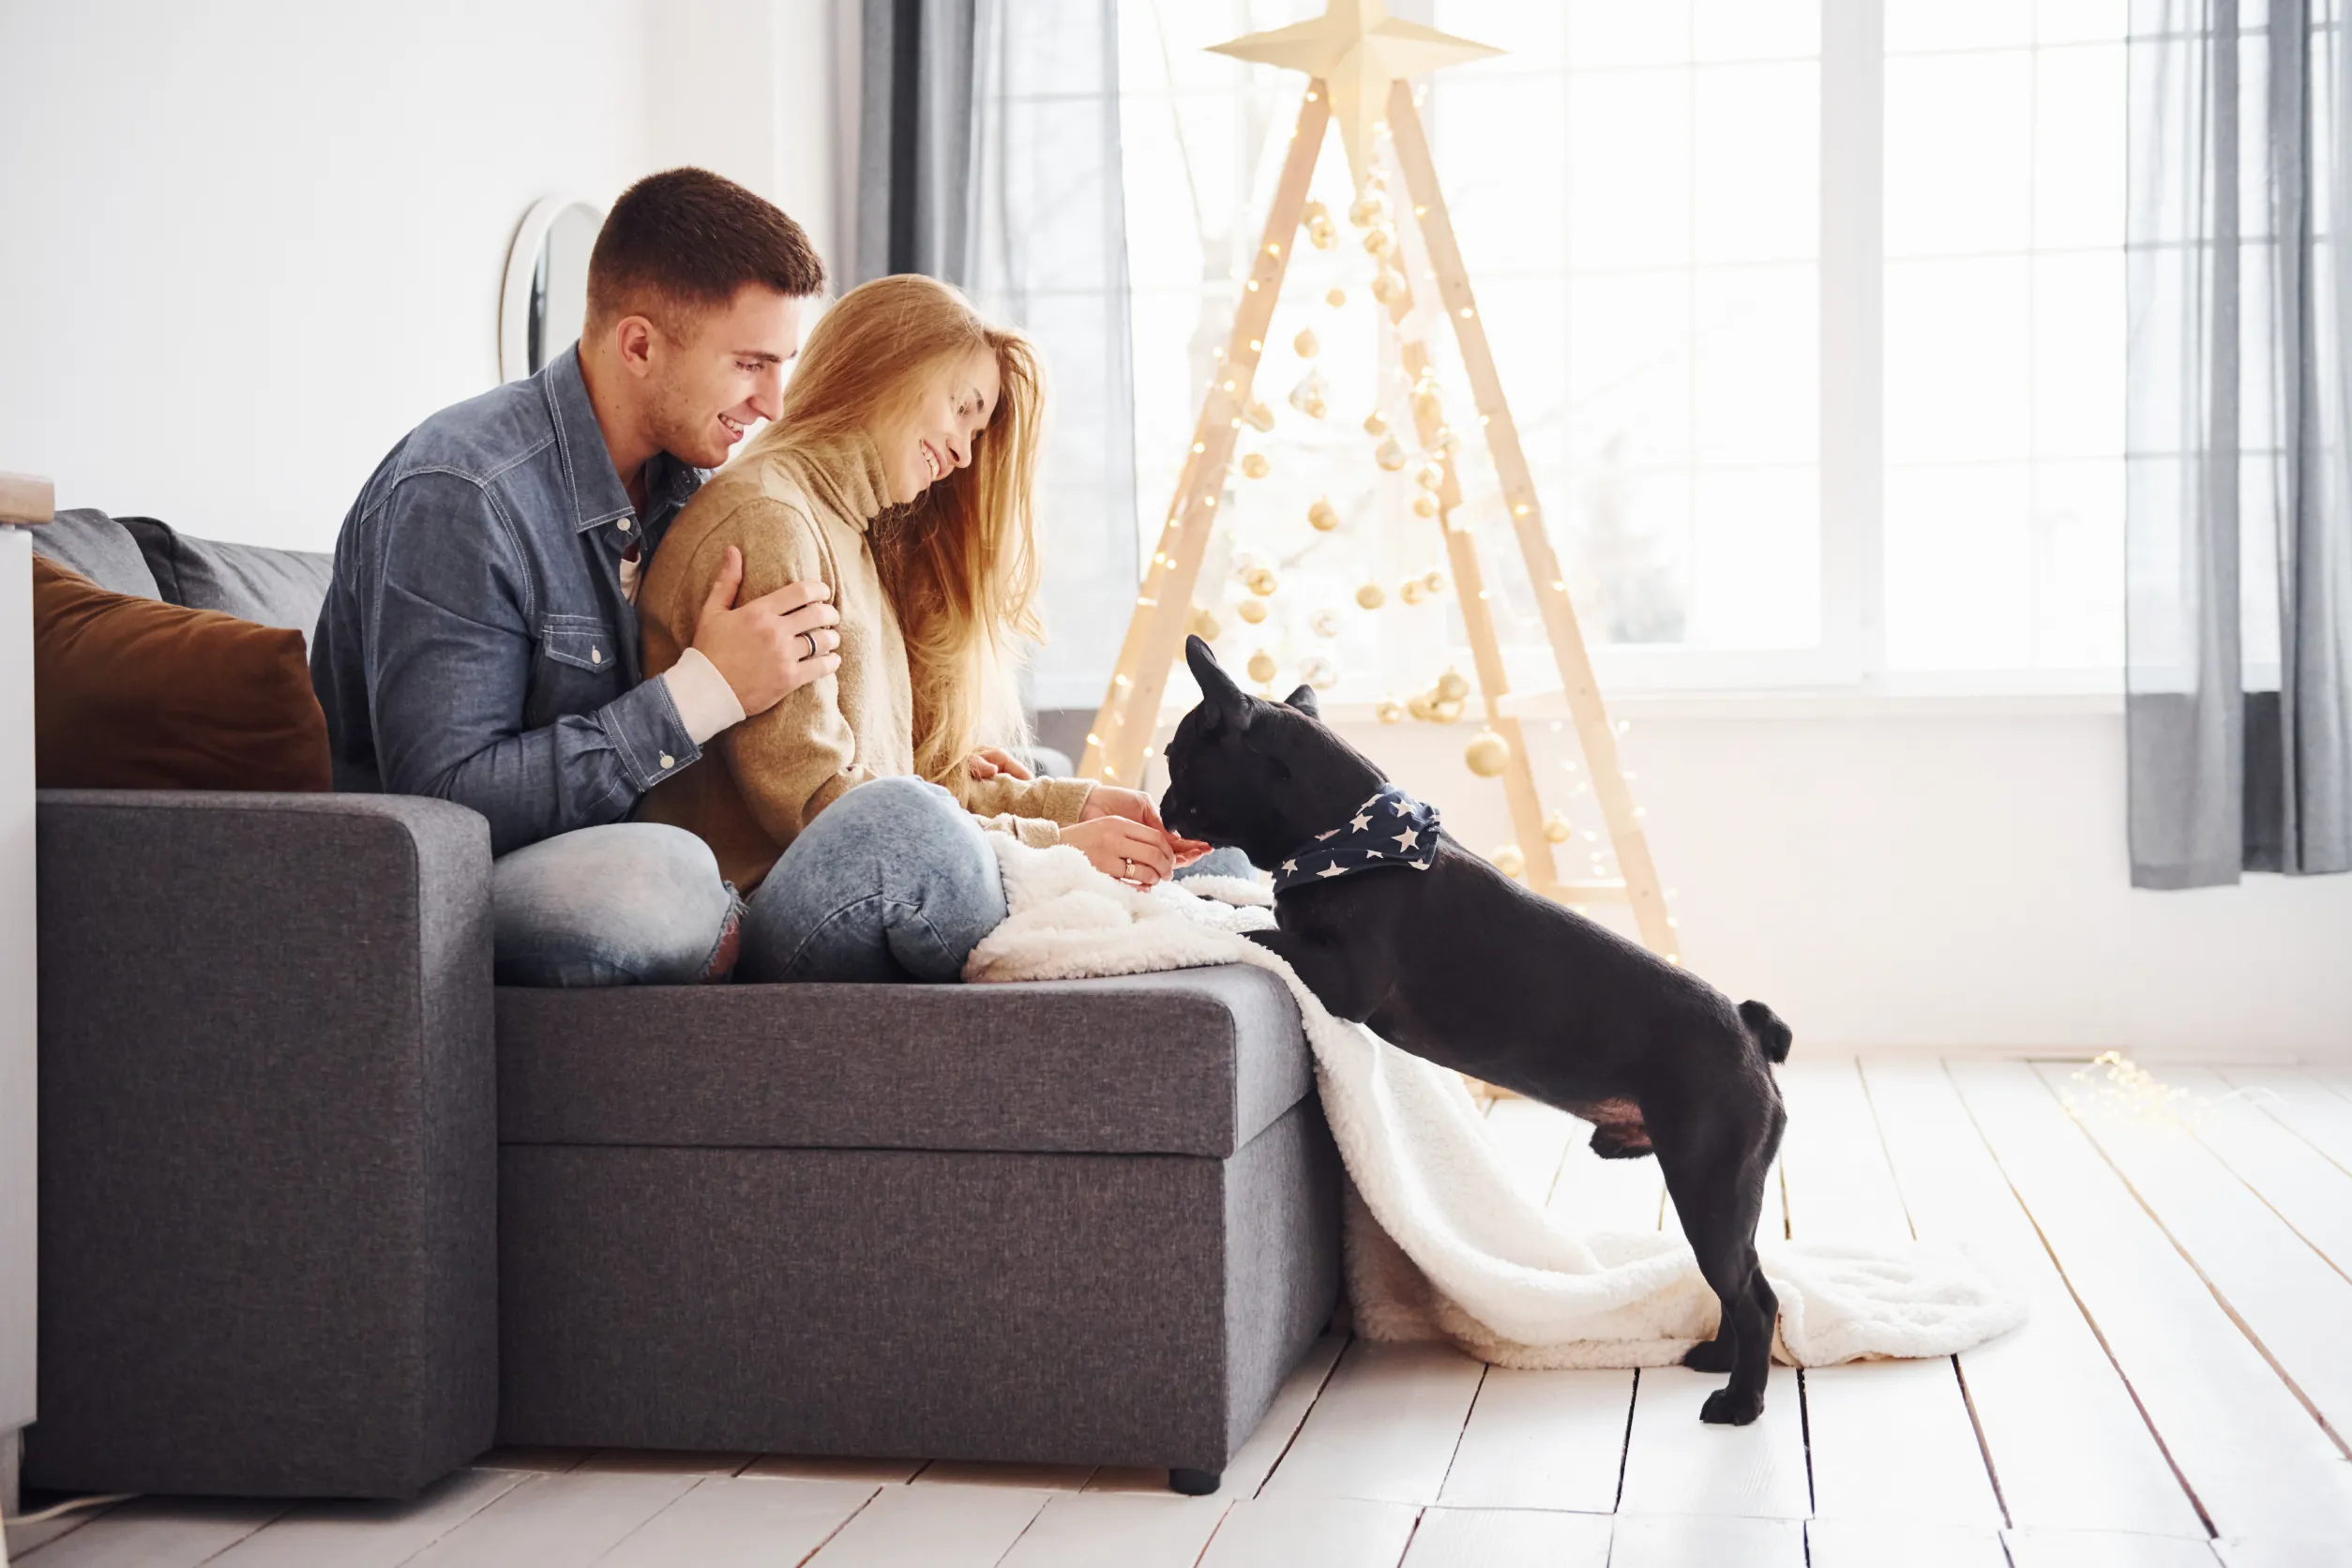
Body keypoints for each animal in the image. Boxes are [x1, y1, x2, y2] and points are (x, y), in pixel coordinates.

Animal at [1166, 634, 1787, 1420]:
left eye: (1176, 755)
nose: (1161, 800)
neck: (1341, 839)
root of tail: (1747, 1032)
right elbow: (1256, 909)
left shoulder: (1345, 979)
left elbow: (1261, 928)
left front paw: (1201, 913)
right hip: (1729, 1191)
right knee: (1748, 1282)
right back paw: (1717, 1361)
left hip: (1708, 1180)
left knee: (1751, 1296)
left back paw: (1740, 1403)